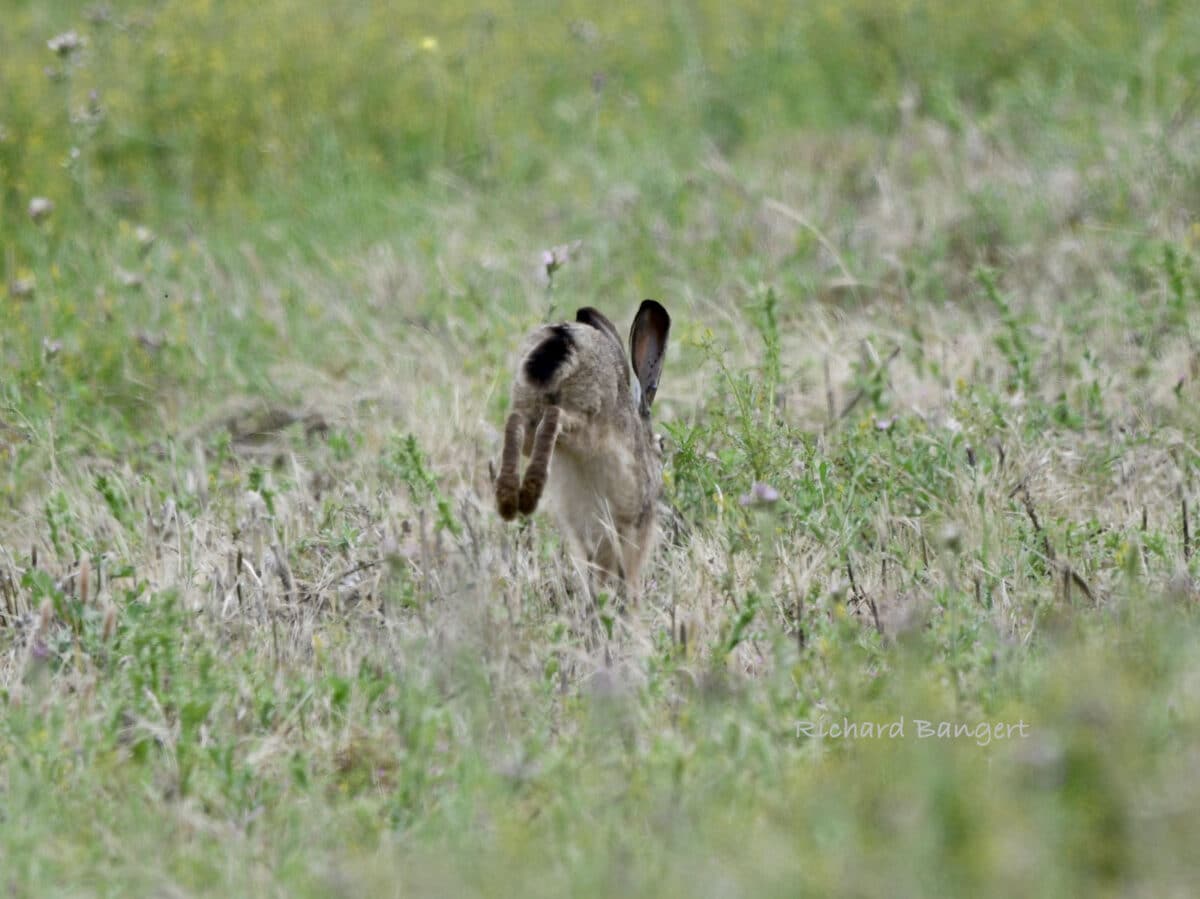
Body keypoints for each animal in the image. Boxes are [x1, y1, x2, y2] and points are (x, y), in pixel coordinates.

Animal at [495, 299, 671, 594]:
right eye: (663, 445)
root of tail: (563, 339)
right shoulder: (631, 528)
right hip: (587, 417)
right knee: (553, 420)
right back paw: (529, 493)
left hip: (527, 400)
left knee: (516, 425)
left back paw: (509, 498)